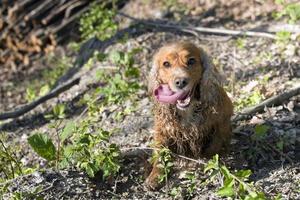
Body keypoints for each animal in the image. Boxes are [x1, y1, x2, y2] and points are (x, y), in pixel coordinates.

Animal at [146, 41, 233, 189]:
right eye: (166, 64)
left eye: (191, 61)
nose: (181, 82)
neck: (187, 109)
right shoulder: (161, 130)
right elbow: (159, 155)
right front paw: (154, 176)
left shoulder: (223, 119)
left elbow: (216, 143)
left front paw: (208, 159)